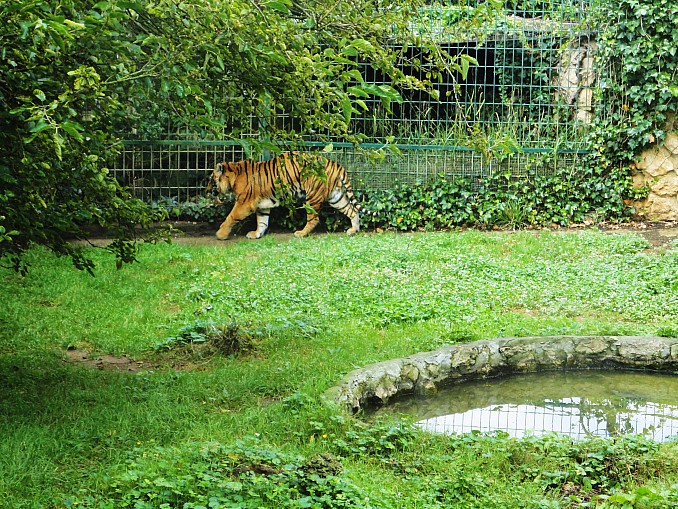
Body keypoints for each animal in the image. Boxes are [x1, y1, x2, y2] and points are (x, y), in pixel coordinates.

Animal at [209, 152, 376, 240]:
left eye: (211, 179)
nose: (207, 190)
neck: (234, 175)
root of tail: (335, 164)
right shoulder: (262, 206)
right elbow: (262, 221)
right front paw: (257, 234)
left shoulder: (244, 203)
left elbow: (230, 217)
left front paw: (220, 234)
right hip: (336, 197)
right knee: (352, 210)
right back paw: (353, 230)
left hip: (312, 196)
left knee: (314, 219)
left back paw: (301, 233)